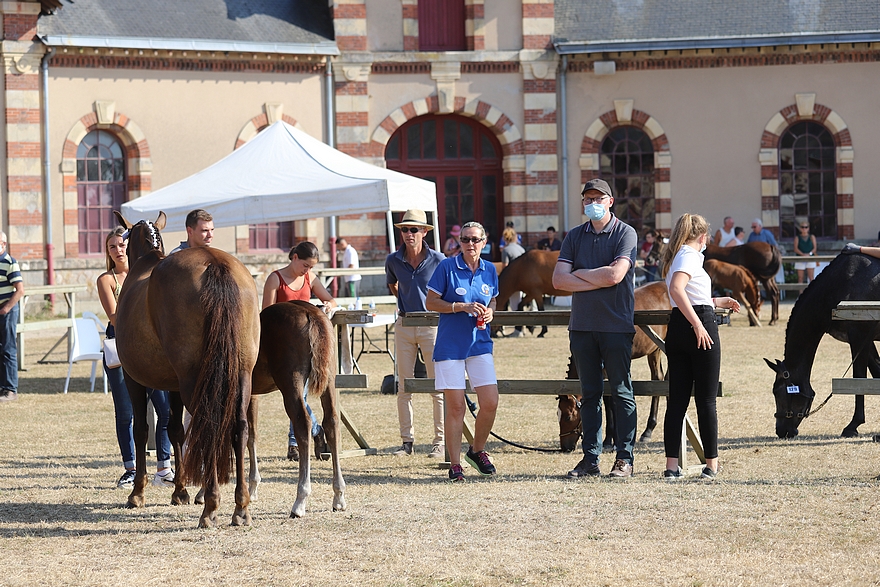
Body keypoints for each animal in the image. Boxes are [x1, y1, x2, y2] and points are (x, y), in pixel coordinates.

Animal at [112, 214, 262, 532]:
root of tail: (215, 263)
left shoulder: (135, 380)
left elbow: (142, 430)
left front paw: (138, 493)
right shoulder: (174, 385)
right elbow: (175, 430)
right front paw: (179, 490)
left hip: (195, 381)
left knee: (211, 426)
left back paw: (211, 506)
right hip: (240, 375)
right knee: (239, 427)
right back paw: (240, 507)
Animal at [552, 280, 672, 450]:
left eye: (568, 417)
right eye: (558, 415)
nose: (565, 447)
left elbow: (610, 400)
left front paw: (611, 440)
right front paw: (610, 439)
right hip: (654, 349)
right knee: (657, 378)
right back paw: (648, 430)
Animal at [764, 250, 880, 438]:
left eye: (777, 391)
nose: (781, 431)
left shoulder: (859, 337)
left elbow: (859, 379)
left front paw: (853, 425)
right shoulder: (864, 341)